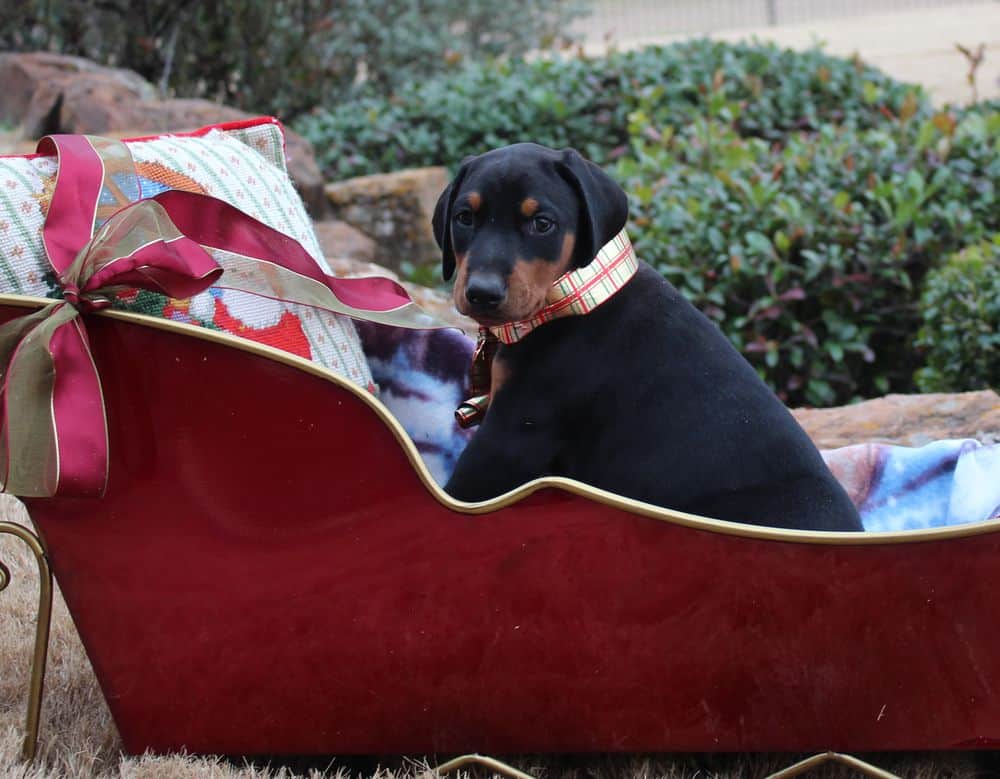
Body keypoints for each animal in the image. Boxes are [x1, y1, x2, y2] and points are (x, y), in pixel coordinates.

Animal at [434, 142, 864, 532]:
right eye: (464, 218)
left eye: (542, 223)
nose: (483, 293)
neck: (572, 296)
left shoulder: (514, 432)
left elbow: (459, 492)